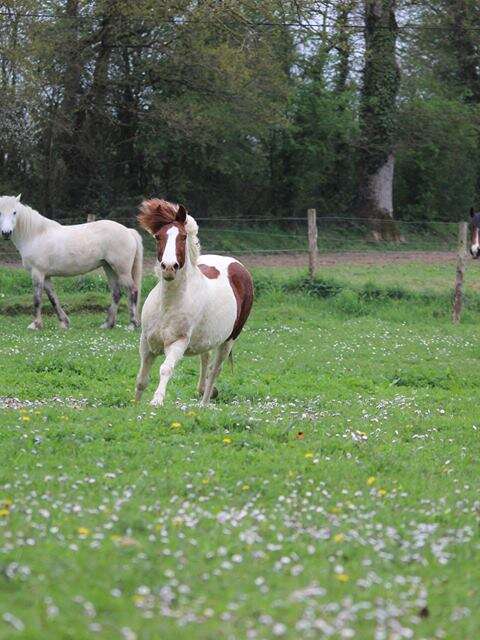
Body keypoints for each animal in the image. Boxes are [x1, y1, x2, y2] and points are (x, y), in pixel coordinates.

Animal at [0, 194, 142, 330]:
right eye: (0, 212)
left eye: (14, 212)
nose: (6, 233)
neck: (35, 235)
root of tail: (128, 231)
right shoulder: (46, 276)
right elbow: (53, 298)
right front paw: (64, 323)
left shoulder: (37, 273)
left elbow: (37, 299)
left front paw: (35, 325)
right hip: (109, 268)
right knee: (116, 293)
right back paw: (108, 324)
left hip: (122, 270)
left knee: (132, 291)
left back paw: (132, 325)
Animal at [135, 199, 255, 404]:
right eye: (158, 237)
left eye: (183, 237)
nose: (169, 267)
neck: (167, 305)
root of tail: (236, 264)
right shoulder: (146, 342)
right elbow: (141, 379)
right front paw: (134, 405)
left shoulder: (178, 342)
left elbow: (165, 369)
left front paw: (156, 401)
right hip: (206, 338)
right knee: (205, 358)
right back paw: (204, 390)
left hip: (230, 339)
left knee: (215, 369)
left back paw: (205, 401)